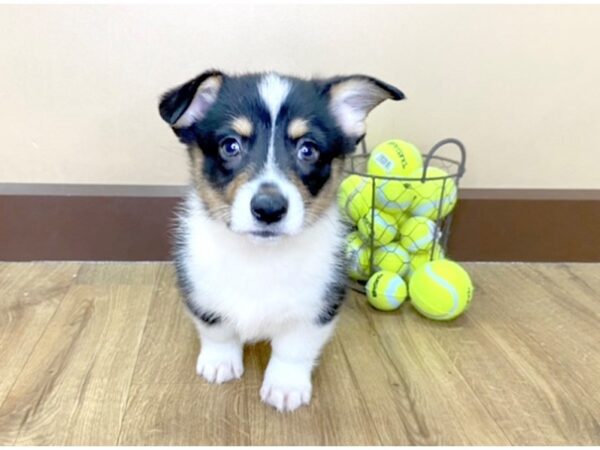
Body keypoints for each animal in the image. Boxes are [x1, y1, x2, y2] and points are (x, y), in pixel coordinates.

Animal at [158, 71, 404, 412]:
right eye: (230, 145)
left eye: (308, 149)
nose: (269, 209)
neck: (260, 256)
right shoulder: (201, 294)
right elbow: (217, 330)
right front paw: (220, 363)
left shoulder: (317, 308)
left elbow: (293, 349)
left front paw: (285, 387)